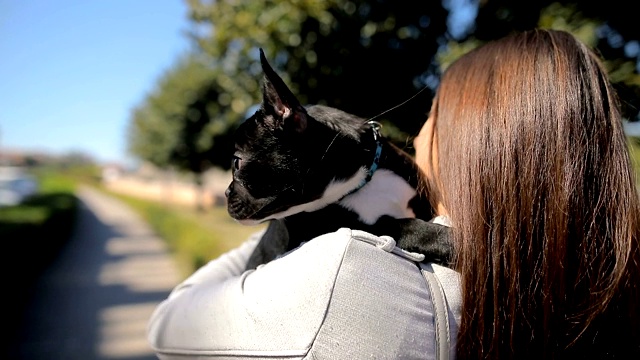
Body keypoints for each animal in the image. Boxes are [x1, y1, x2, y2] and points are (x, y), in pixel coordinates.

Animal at [225, 50, 450, 270]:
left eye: (236, 162)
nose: (227, 192)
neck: (356, 181)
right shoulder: (360, 227)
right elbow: (406, 226)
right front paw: (448, 240)